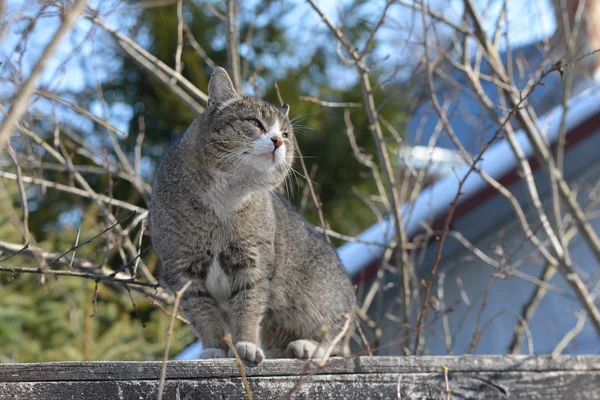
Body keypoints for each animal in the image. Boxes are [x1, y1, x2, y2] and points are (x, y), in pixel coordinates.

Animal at [150, 66, 356, 362]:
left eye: (286, 134)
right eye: (256, 123)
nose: (278, 140)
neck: (227, 196)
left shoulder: (252, 261)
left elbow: (247, 307)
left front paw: (246, 344)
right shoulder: (182, 267)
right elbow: (203, 314)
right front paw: (214, 349)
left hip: (323, 301)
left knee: (334, 340)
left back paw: (307, 346)